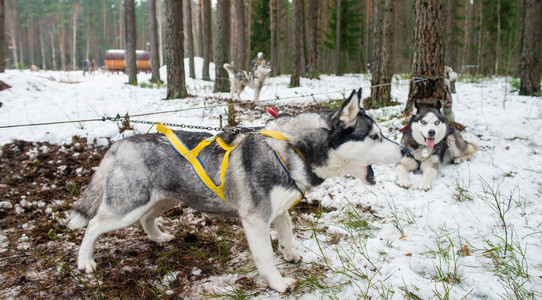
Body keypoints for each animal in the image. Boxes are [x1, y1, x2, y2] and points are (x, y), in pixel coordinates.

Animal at [68, 89, 406, 292]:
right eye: (374, 136)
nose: (404, 150)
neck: (292, 149)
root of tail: (122, 142)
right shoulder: (256, 219)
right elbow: (266, 257)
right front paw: (278, 283)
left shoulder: (279, 210)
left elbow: (287, 235)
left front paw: (290, 254)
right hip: (127, 206)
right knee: (94, 225)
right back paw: (85, 262)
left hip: (164, 199)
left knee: (146, 219)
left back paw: (159, 237)